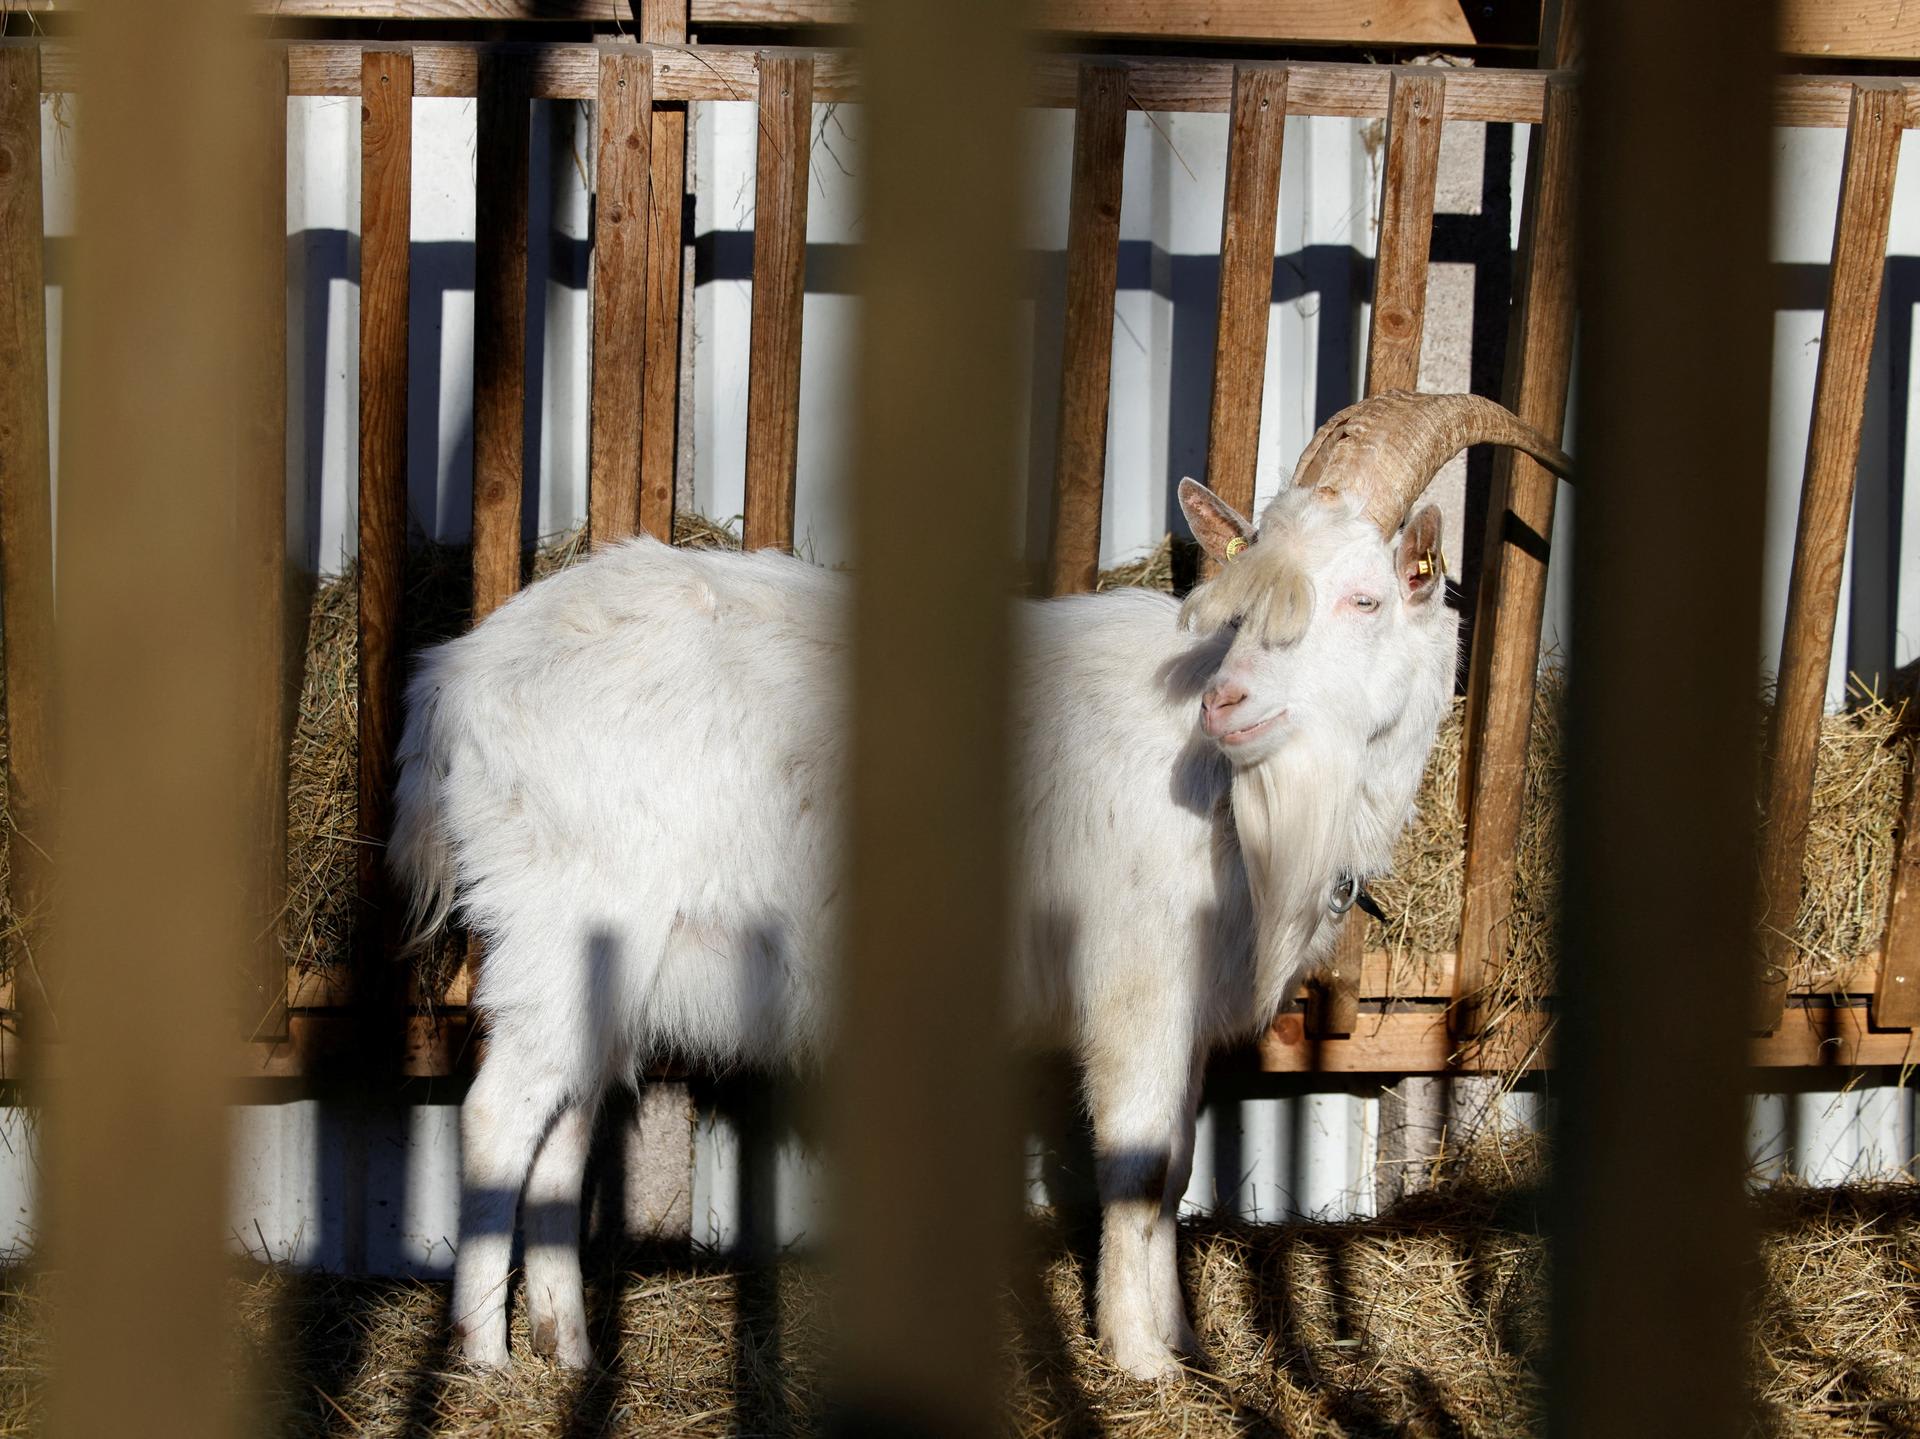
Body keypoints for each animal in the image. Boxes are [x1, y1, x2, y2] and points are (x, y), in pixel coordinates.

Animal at [388, 390, 1572, 1379]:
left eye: (1365, 598)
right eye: (1239, 608)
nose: (1227, 704)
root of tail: (456, 679)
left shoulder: (1186, 1006)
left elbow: (1182, 1166)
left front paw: (1183, 1340)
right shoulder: (1137, 987)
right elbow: (1141, 1166)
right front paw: (1142, 1359)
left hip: (600, 966)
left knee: (562, 1135)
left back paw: (568, 1350)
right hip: (559, 921)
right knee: (496, 1117)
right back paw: (485, 1360)